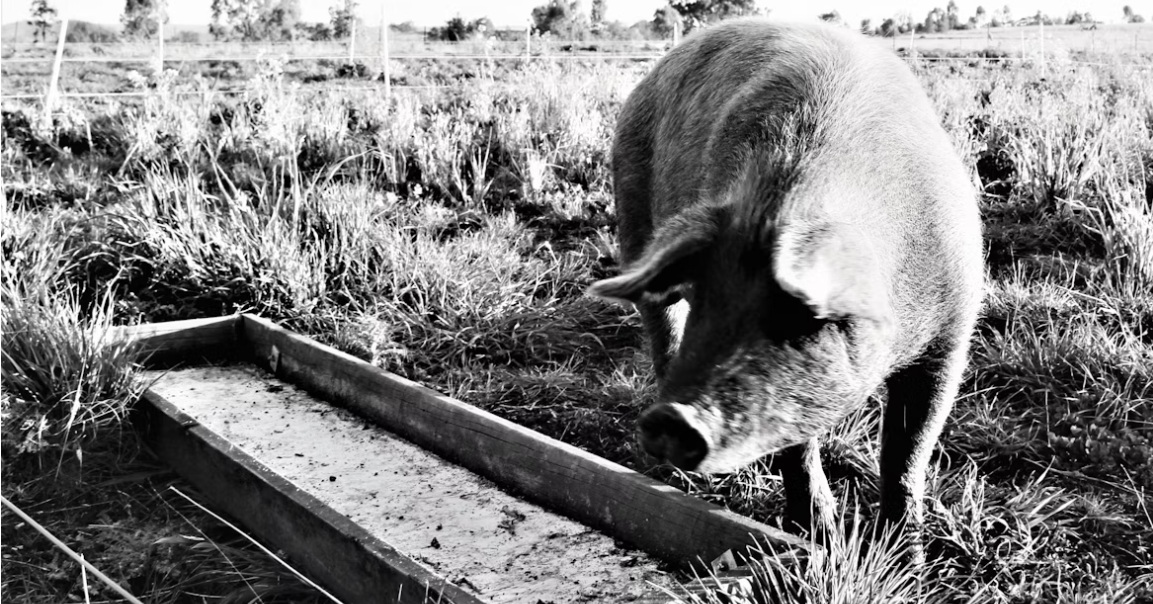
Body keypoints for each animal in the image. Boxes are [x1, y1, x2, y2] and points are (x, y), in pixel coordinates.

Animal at [588, 19, 983, 554]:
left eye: (801, 314)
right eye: (710, 298)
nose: (672, 418)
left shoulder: (952, 331)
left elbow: (908, 448)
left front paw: (905, 557)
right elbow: (797, 445)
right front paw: (819, 537)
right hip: (634, 223)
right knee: (660, 324)